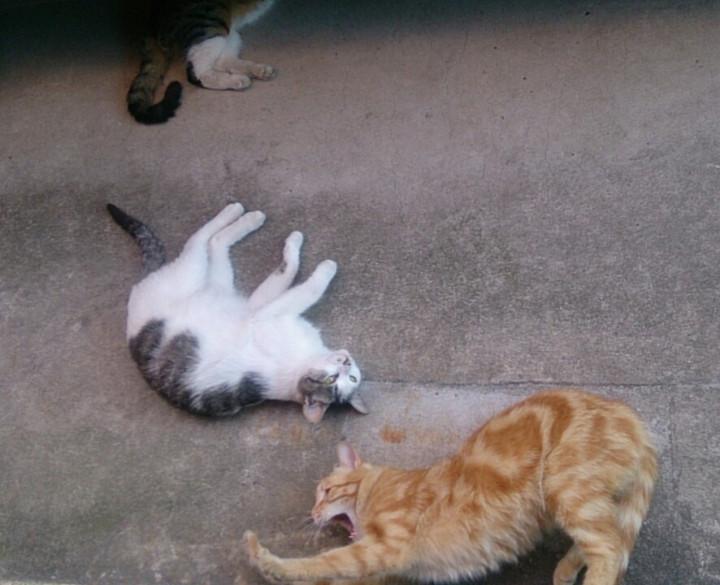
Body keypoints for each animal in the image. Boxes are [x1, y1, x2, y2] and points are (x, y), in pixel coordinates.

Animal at [107, 201, 367, 422]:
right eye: (336, 378)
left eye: (349, 378)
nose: (346, 362)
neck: (304, 362)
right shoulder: (261, 312)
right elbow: (296, 275)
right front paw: (309, 253)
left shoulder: (260, 314)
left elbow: (300, 281)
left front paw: (319, 262)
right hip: (206, 281)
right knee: (206, 240)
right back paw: (244, 214)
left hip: (199, 277)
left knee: (208, 243)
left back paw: (243, 214)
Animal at [128, 0, 277, 124]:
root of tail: (151, 20)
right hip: (210, 26)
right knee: (197, 73)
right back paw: (238, 80)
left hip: (227, 32)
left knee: (221, 61)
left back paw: (259, 70)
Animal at [245, 389, 657, 585]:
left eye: (326, 492)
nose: (312, 512)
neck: (380, 488)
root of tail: (633, 418)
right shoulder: (386, 565)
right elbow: (331, 576)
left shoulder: (385, 547)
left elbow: (321, 565)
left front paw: (267, 562)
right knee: (605, 542)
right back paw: (565, 571)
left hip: (568, 489)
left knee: (608, 550)